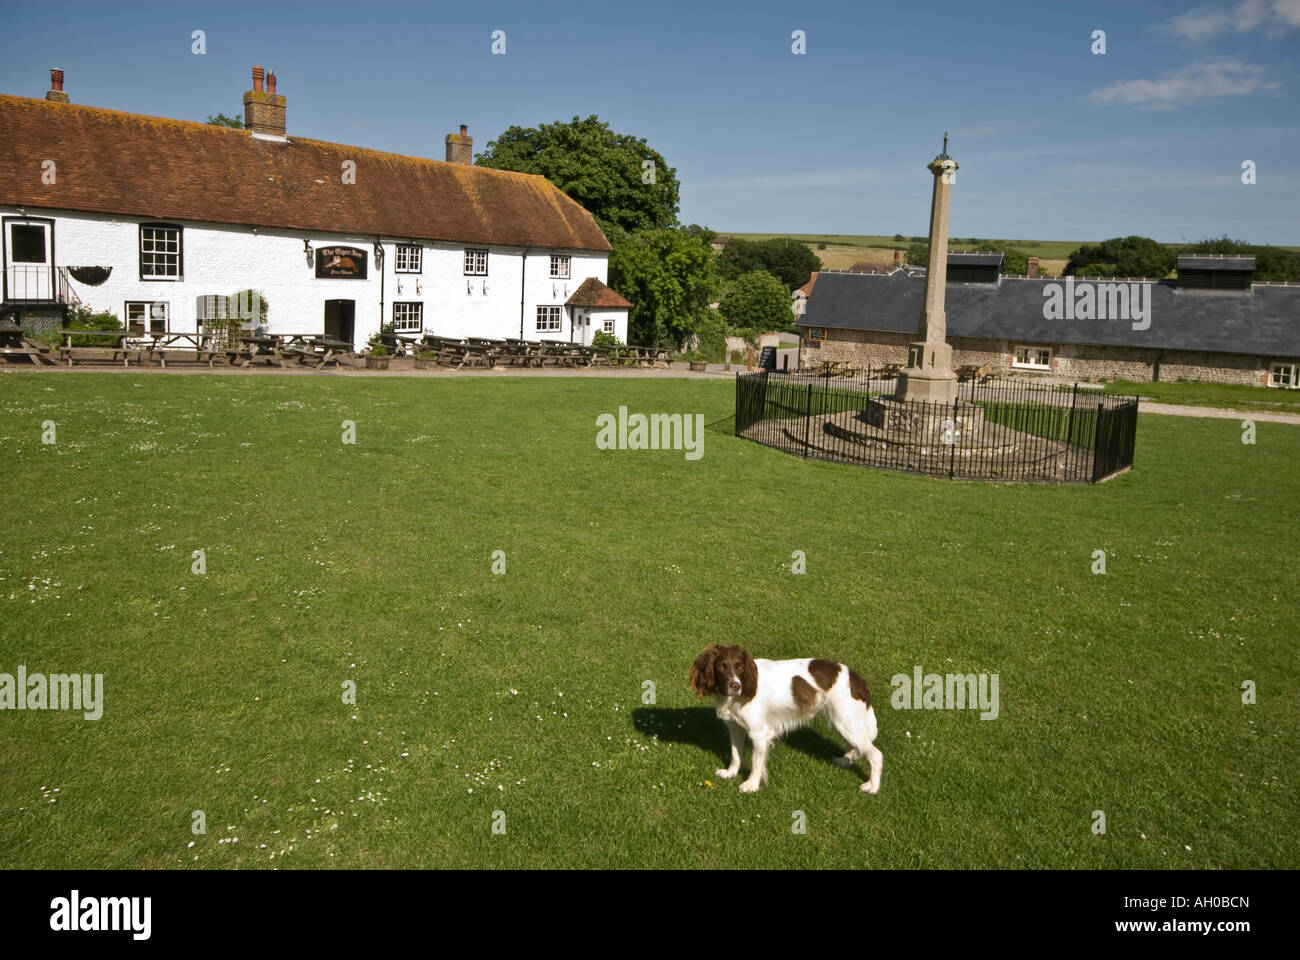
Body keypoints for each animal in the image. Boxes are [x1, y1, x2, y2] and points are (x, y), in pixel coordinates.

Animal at [691, 642, 883, 790]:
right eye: (721, 667)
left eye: (740, 666)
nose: (736, 686)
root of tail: (857, 679)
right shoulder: (735, 727)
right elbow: (735, 754)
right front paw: (730, 773)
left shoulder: (760, 734)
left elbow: (756, 763)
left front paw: (751, 785)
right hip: (843, 722)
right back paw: (845, 761)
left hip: (846, 722)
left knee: (876, 754)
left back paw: (872, 787)